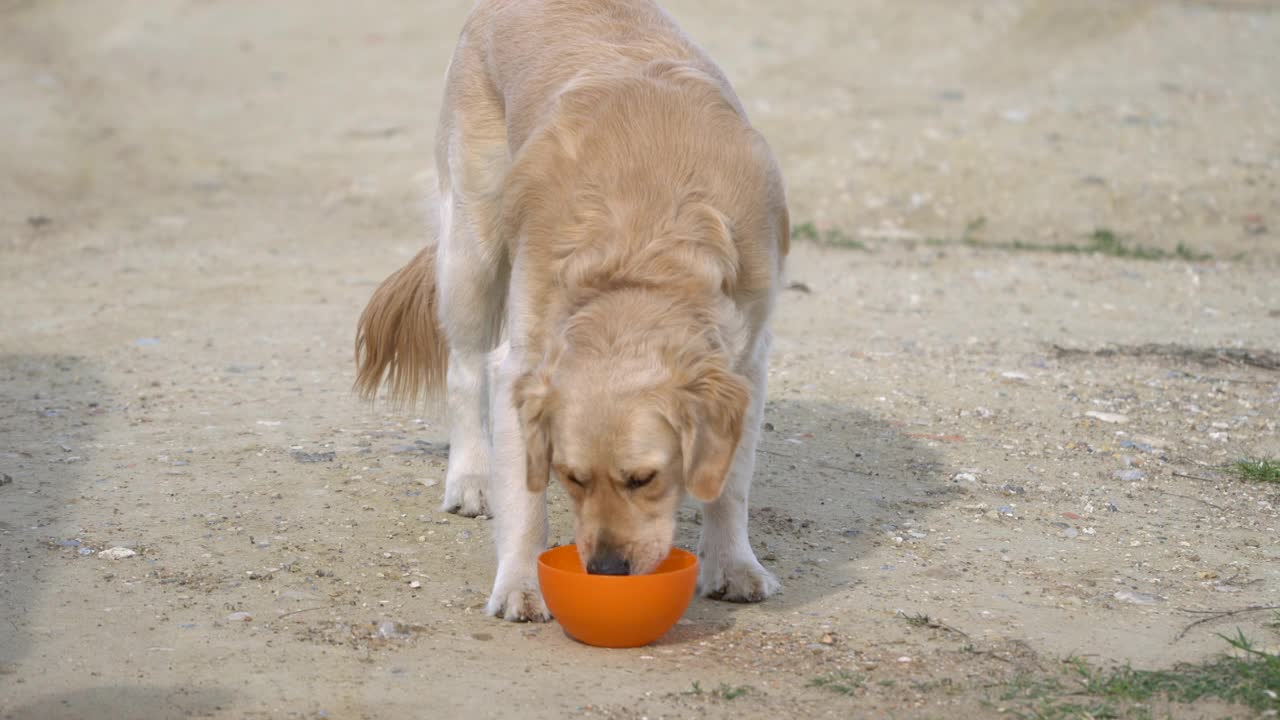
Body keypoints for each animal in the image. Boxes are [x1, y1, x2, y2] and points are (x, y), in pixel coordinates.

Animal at [355, 0, 783, 617]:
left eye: (644, 479)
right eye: (571, 478)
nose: (605, 570)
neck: (643, 252)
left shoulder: (747, 361)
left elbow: (731, 484)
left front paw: (733, 565)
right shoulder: (524, 364)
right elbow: (524, 498)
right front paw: (521, 583)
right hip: (471, 244)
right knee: (464, 368)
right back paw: (471, 478)